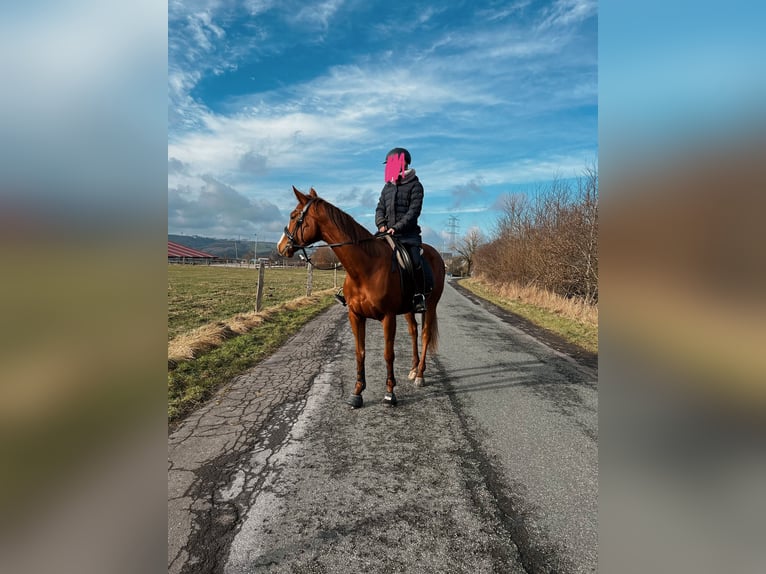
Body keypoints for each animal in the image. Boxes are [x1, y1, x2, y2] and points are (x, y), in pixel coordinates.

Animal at [277, 186, 445, 408]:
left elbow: (388, 354)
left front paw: (390, 393)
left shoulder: (388, 317)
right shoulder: (356, 316)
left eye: (293, 216)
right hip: (409, 309)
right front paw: (357, 392)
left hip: (431, 305)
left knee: (425, 335)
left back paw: (420, 375)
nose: (280, 247)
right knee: (413, 331)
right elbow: (360, 353)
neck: (366, 268)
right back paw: (413, 368)